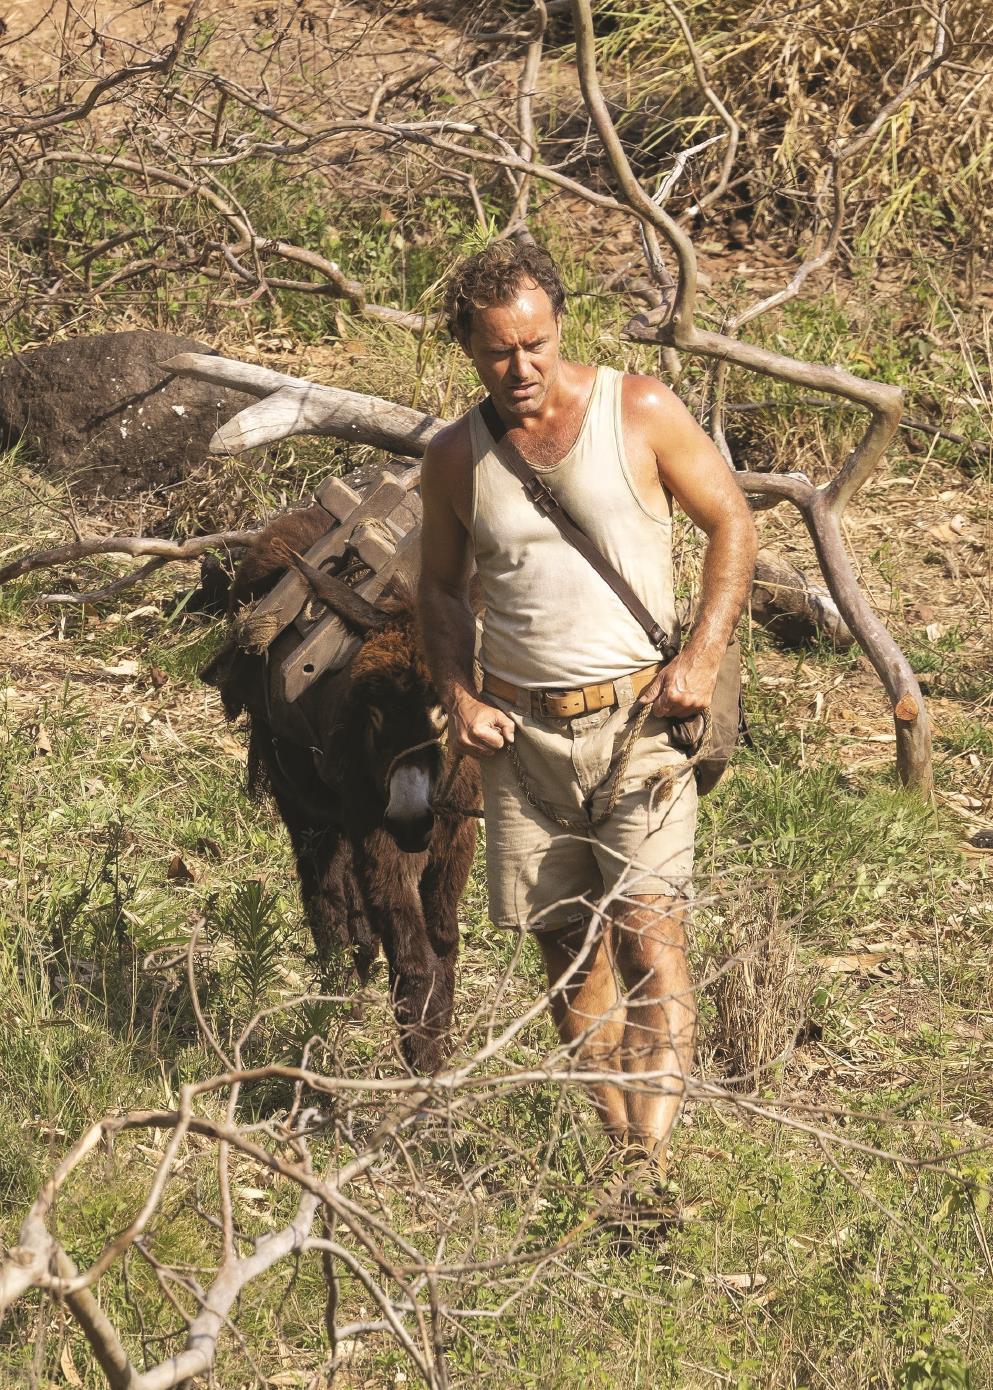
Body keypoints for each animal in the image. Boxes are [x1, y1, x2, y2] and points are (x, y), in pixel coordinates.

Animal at [201, 504, 480, 1073]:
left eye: (443, 713)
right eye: (373, 714)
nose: (409, 820)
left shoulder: (457, 837)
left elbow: (443, 941)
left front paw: (437, 1046)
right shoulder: (382, 838)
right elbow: (414, 955)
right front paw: (422, 1065)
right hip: (303, 803)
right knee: (322, 894)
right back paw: (333, 998)